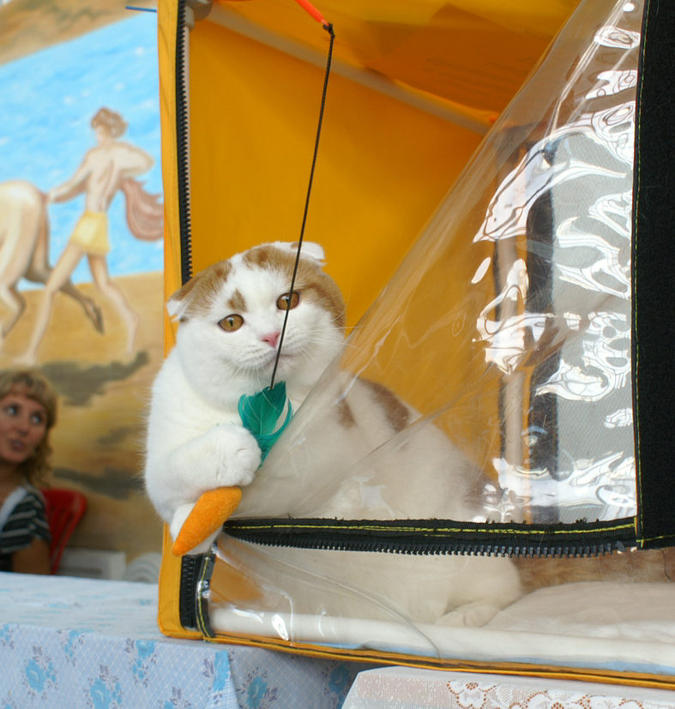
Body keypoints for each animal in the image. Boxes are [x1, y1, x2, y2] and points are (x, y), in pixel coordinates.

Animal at [145, 241, 522, 627]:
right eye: (231, 322)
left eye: (288, 301)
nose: (271, 335)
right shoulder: (162, 456)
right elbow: (171, 475)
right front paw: (192, 520)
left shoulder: (330, 444)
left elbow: (286, 484)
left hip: (469, 551)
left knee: (506, 591)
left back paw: (461, 617)